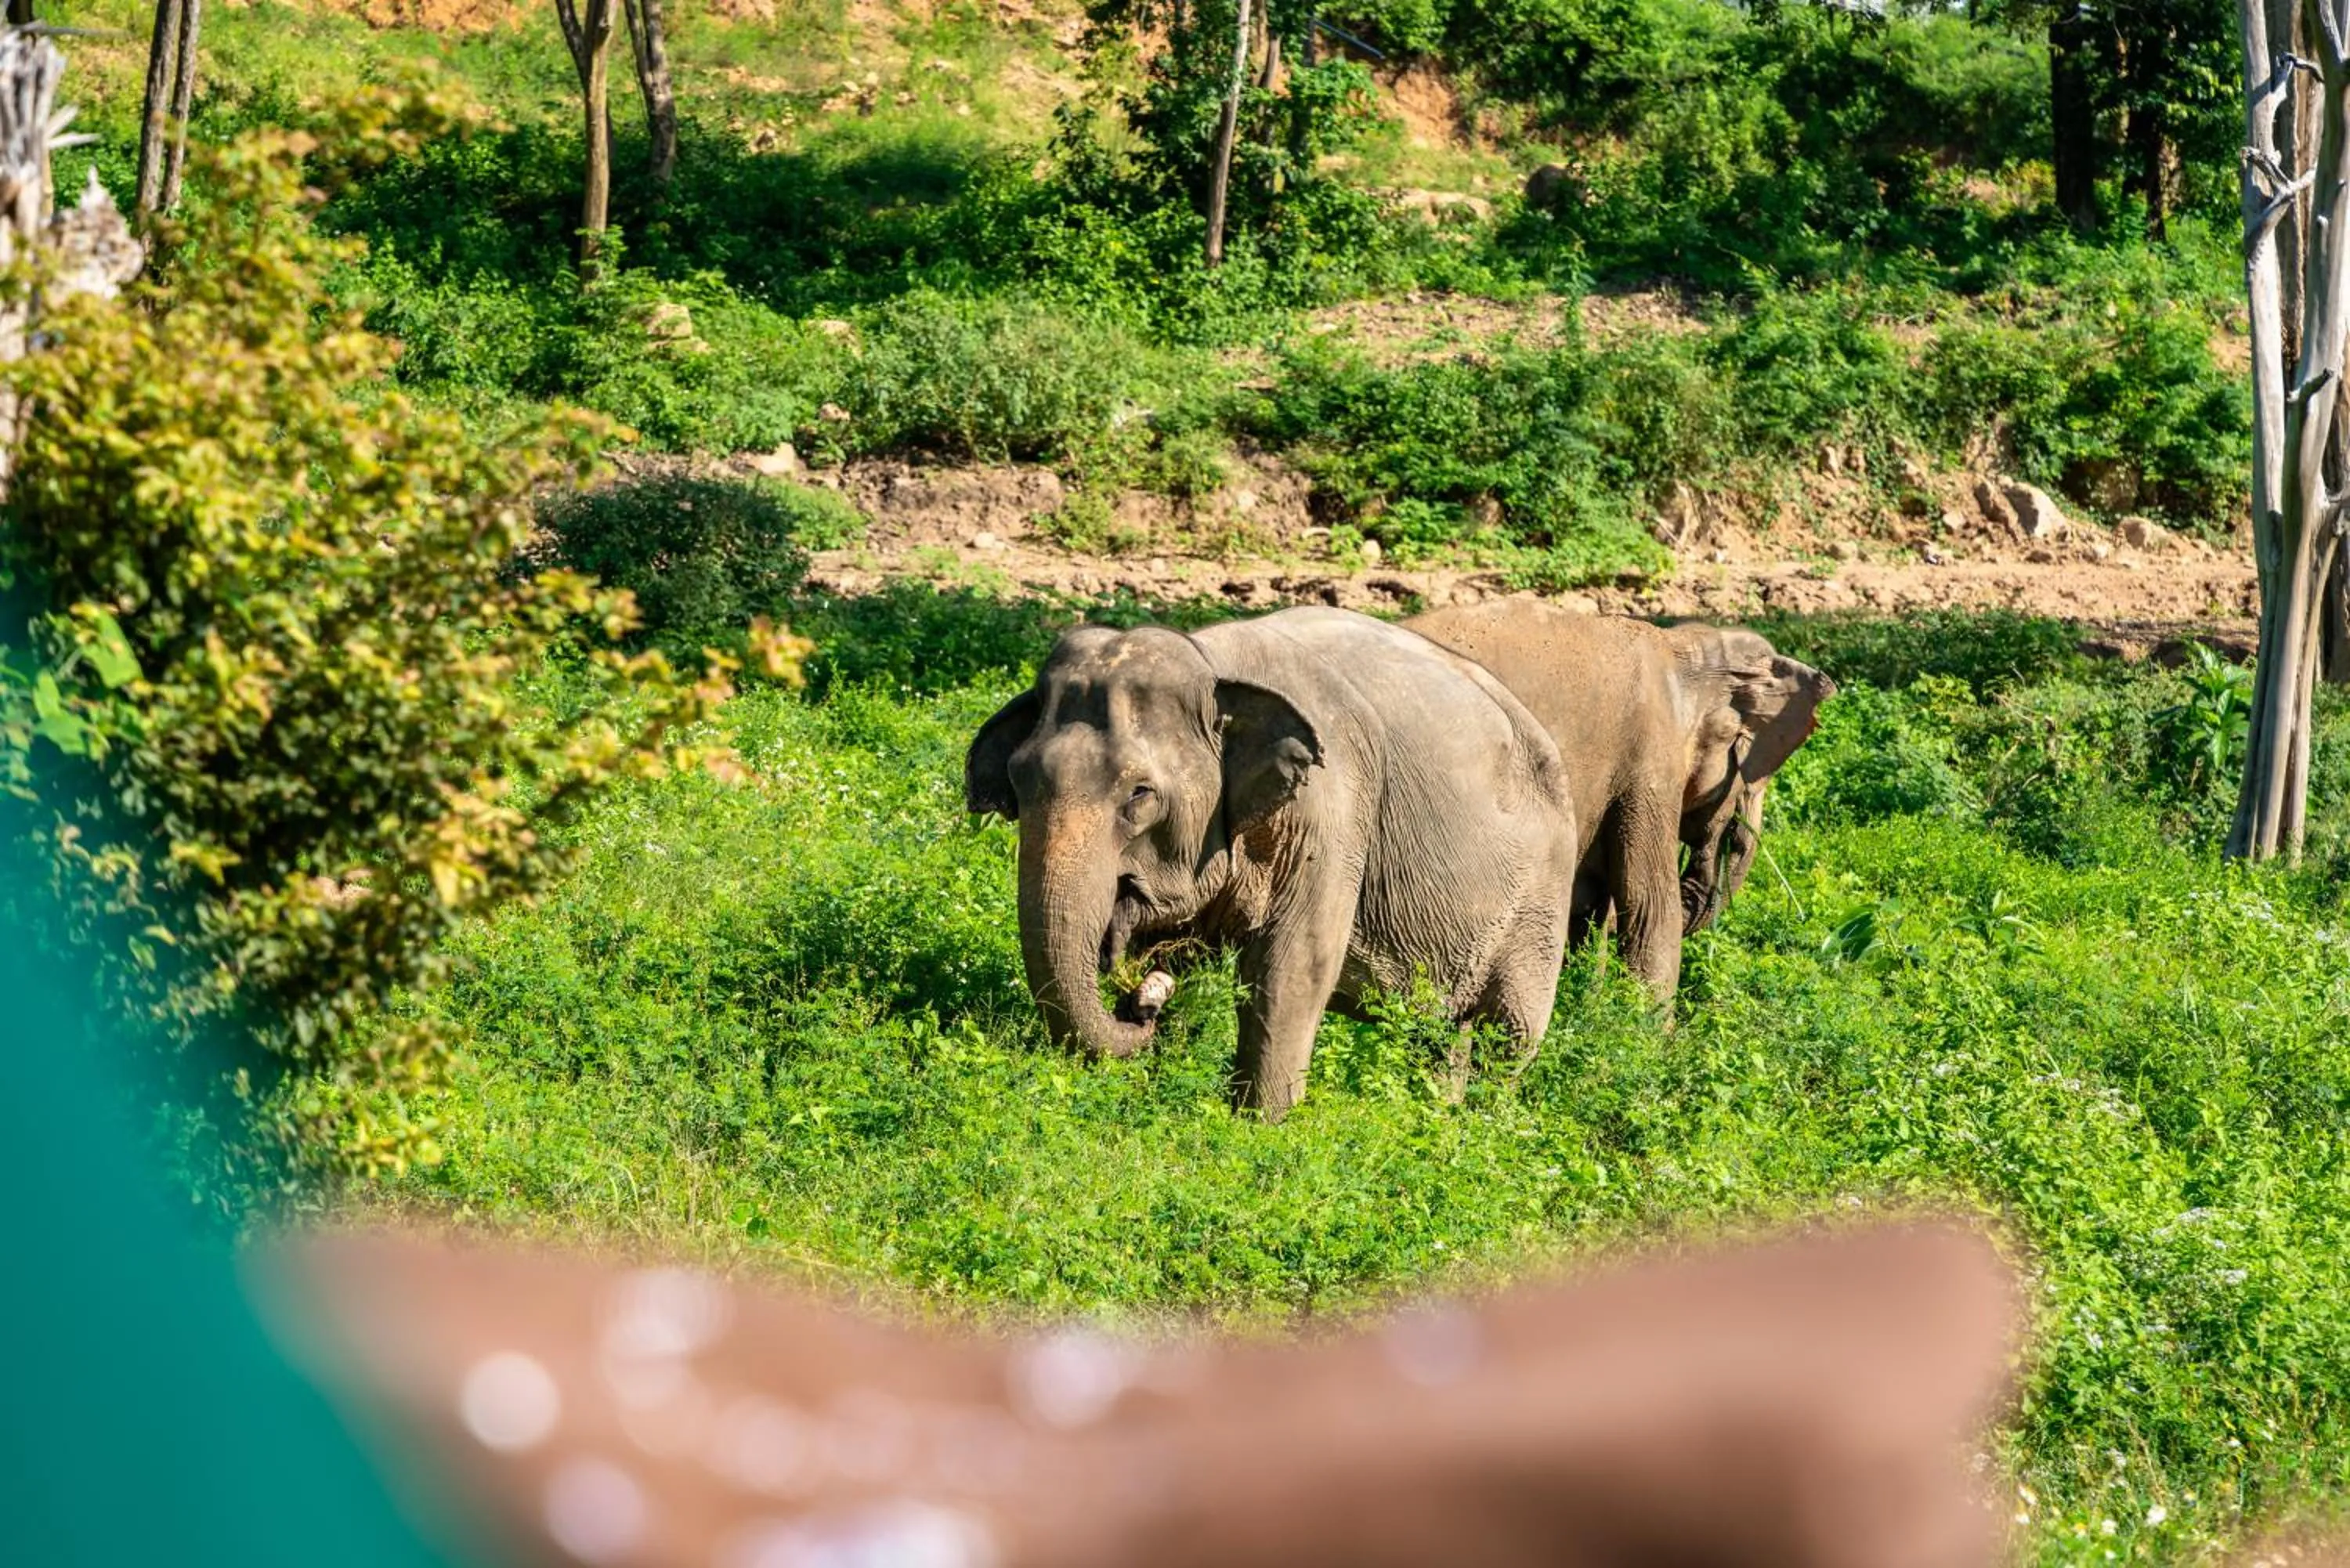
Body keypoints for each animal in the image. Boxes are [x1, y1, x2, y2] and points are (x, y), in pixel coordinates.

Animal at [965, 606, 1582, 1121]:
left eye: (1140, 794)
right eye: (1018, 780)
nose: (1141, 999)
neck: (1212, 663)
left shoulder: (1333, 809)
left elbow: (1295, 965)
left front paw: (1263, 1127)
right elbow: (1184, 950)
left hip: (1542, 895)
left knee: (1511, 1037)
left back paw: (1478, 1132)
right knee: (1440, 1035)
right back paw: (1435, 1122)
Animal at [1405, 598, 1835, 1003]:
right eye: (1750, 781)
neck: (1685, 652)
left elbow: (1593, 902)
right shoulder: (1650, 761)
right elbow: (1651, 905)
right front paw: (1650, 1030)